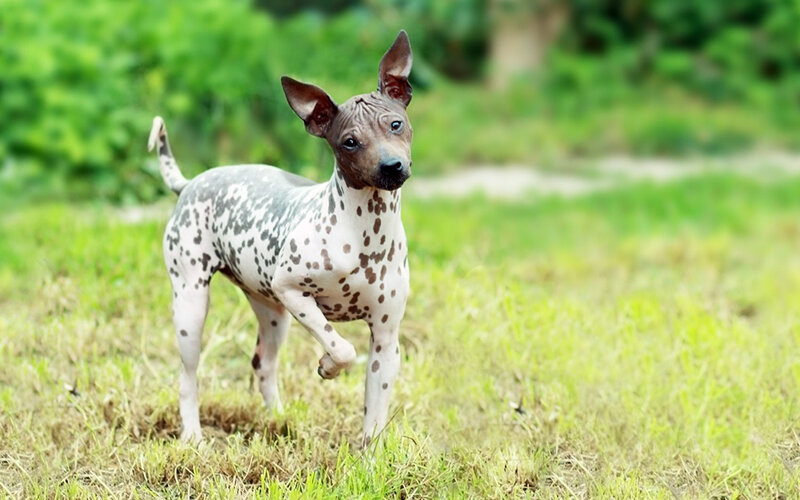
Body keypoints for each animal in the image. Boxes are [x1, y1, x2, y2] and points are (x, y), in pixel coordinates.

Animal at [147, 31, 416, 446]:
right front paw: (327, 365)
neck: (364, 234)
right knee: (187, 377)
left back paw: (280, 419)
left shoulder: (386, 341)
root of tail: (190, 182)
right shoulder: (293, 291)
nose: (391, 166)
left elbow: (374, 417)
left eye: (396, 124)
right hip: (191, 305)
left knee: (263, 364)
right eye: (349, 142)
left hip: (272, 313)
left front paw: (370, 458)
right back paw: (193, 437)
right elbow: (342, 347)